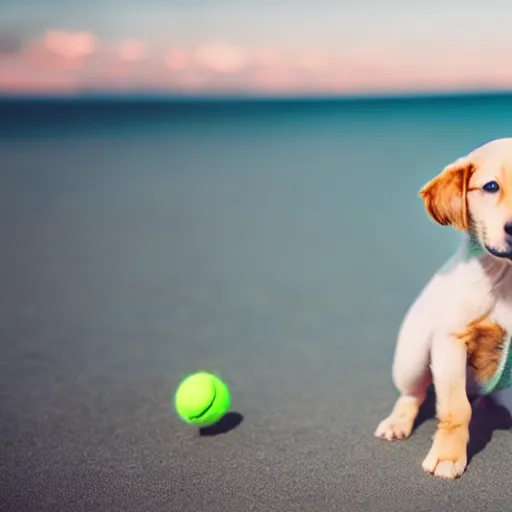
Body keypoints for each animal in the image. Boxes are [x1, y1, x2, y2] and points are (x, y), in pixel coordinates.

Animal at [374, 137, 512, 480]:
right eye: (491, 187)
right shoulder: (450, 342)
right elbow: (455, 408)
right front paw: (448, 456)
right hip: (411, 358)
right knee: (414, 393)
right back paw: (397, 422)